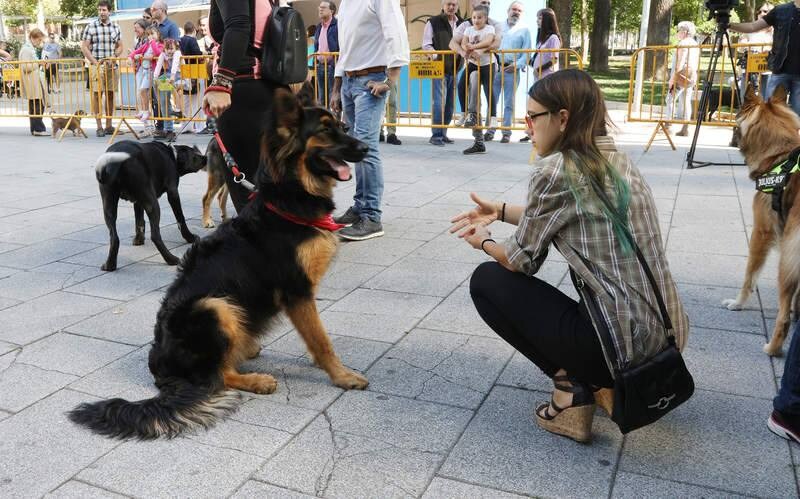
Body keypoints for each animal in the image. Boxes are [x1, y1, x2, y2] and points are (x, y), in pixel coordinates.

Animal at [95, 141, 206, 272]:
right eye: (196, 155)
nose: (206, 158)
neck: (172, 154)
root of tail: (115, 162)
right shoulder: (173, 192)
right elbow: (180, 218)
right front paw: (190, 237)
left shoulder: (138, 201)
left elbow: (139, 221)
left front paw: (139, 240)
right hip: (152, 204)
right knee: (155, 235)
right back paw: (171, 259)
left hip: (108, 206)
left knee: (114, 238)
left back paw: (110, 265)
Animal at [720, 86, 800, 358]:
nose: (730, 140)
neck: (780, 155)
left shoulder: (760, 233)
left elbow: (749, 275)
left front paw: (738, 303)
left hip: (786, 262)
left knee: (782, 317)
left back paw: (773, 348)